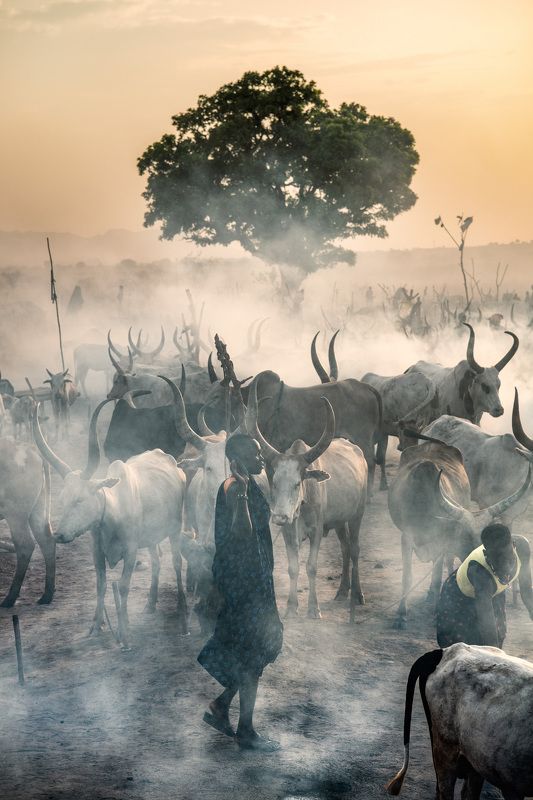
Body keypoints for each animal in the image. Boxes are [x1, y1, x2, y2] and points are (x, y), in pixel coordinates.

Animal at [0, 437, 54, 607]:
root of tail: (29, 448)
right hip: (37, 510)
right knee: (46, 541)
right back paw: (47, 595)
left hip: (15, 515)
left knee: (25, 545)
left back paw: (9, 599)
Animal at [32, 401, 188, 644]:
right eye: (62, 500)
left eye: (80, 499)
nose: (59, 535)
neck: (112, 515)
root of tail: (171, 461)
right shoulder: (97, 552)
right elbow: (101, 585)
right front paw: (96, 626)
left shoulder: (131, 551)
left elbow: (123, 586)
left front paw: (124, 631)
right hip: (151, 537)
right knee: (156, 561)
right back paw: (151, 603)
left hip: (175, 528)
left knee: (176, 562)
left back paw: (182, 606)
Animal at [246, 380, 367, 623]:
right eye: (274, 482)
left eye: (297, 483)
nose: (280, 516)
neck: (299, 509)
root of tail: (358, 452)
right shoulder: (288, 532)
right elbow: (293, 568)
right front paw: (291, 607)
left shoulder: (316, 530)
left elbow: (311, 567)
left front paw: (313, 608)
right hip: (339, 522)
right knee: (345, 548)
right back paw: (342, 591)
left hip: (357, 515)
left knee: (355, 549)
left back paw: (357, 594)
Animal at [388, 435, 530, 628]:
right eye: (465, 538)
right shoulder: (407, 537)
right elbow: (407, 578)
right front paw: (401, 615)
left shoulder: (440, 543)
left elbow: (436, 577)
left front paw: (437, 610)